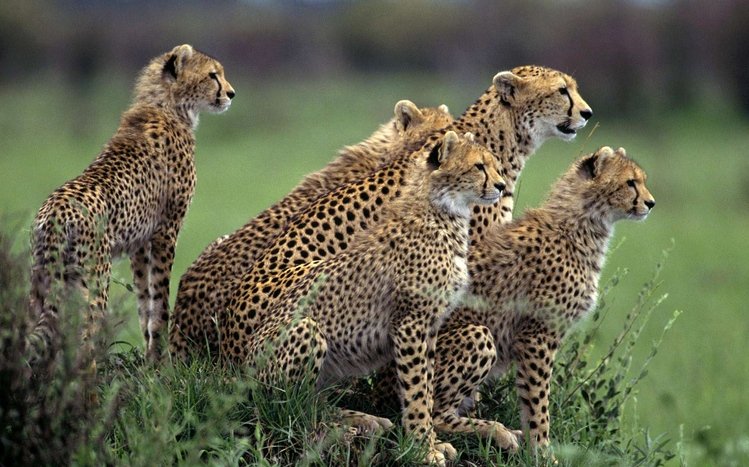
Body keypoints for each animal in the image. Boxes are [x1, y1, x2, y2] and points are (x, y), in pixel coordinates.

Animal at [27, 44, 235, 363]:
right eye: (213, 75)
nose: (231, 93)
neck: (167, 106)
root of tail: (55, 211)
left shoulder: (139, 242)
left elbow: (144, 301)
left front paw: (150, 356)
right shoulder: (166, 231)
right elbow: (160, 298)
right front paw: (161, 360)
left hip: (42, 280)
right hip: (92, 280)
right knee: (84, 339)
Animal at [221, 131, 505, 466]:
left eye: (495, 165)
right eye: (479, 166)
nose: (501, 185)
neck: (443, 211)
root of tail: (241, 370)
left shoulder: (430, 327)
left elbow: (425, 386)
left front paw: (431, 442)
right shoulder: (410, 324)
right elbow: (416, 391)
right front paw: (423, 448)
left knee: (313, 400)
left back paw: (366, 419)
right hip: (306, 330)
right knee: (289, 406)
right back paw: (348, 426)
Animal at [428, 146, 655, 453]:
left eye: (641, 180)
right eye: (630, 182)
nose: (651, 203)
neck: (583, 223)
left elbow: (530, 398)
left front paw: (534, 447)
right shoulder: (537, 336)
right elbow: (538, 402)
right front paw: (543, 452)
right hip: (477, 335)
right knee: (434, 413)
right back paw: (497, 431)